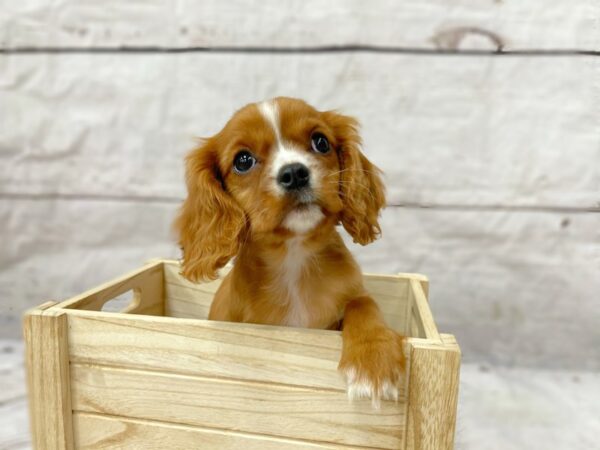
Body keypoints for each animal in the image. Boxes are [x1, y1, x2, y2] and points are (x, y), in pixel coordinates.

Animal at [176, 96, 406, 404]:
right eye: (243, 161)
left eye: (320, 142)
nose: (295, 173)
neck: (293, 257)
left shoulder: (354, 295)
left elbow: (364, 304)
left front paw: (372, 362)